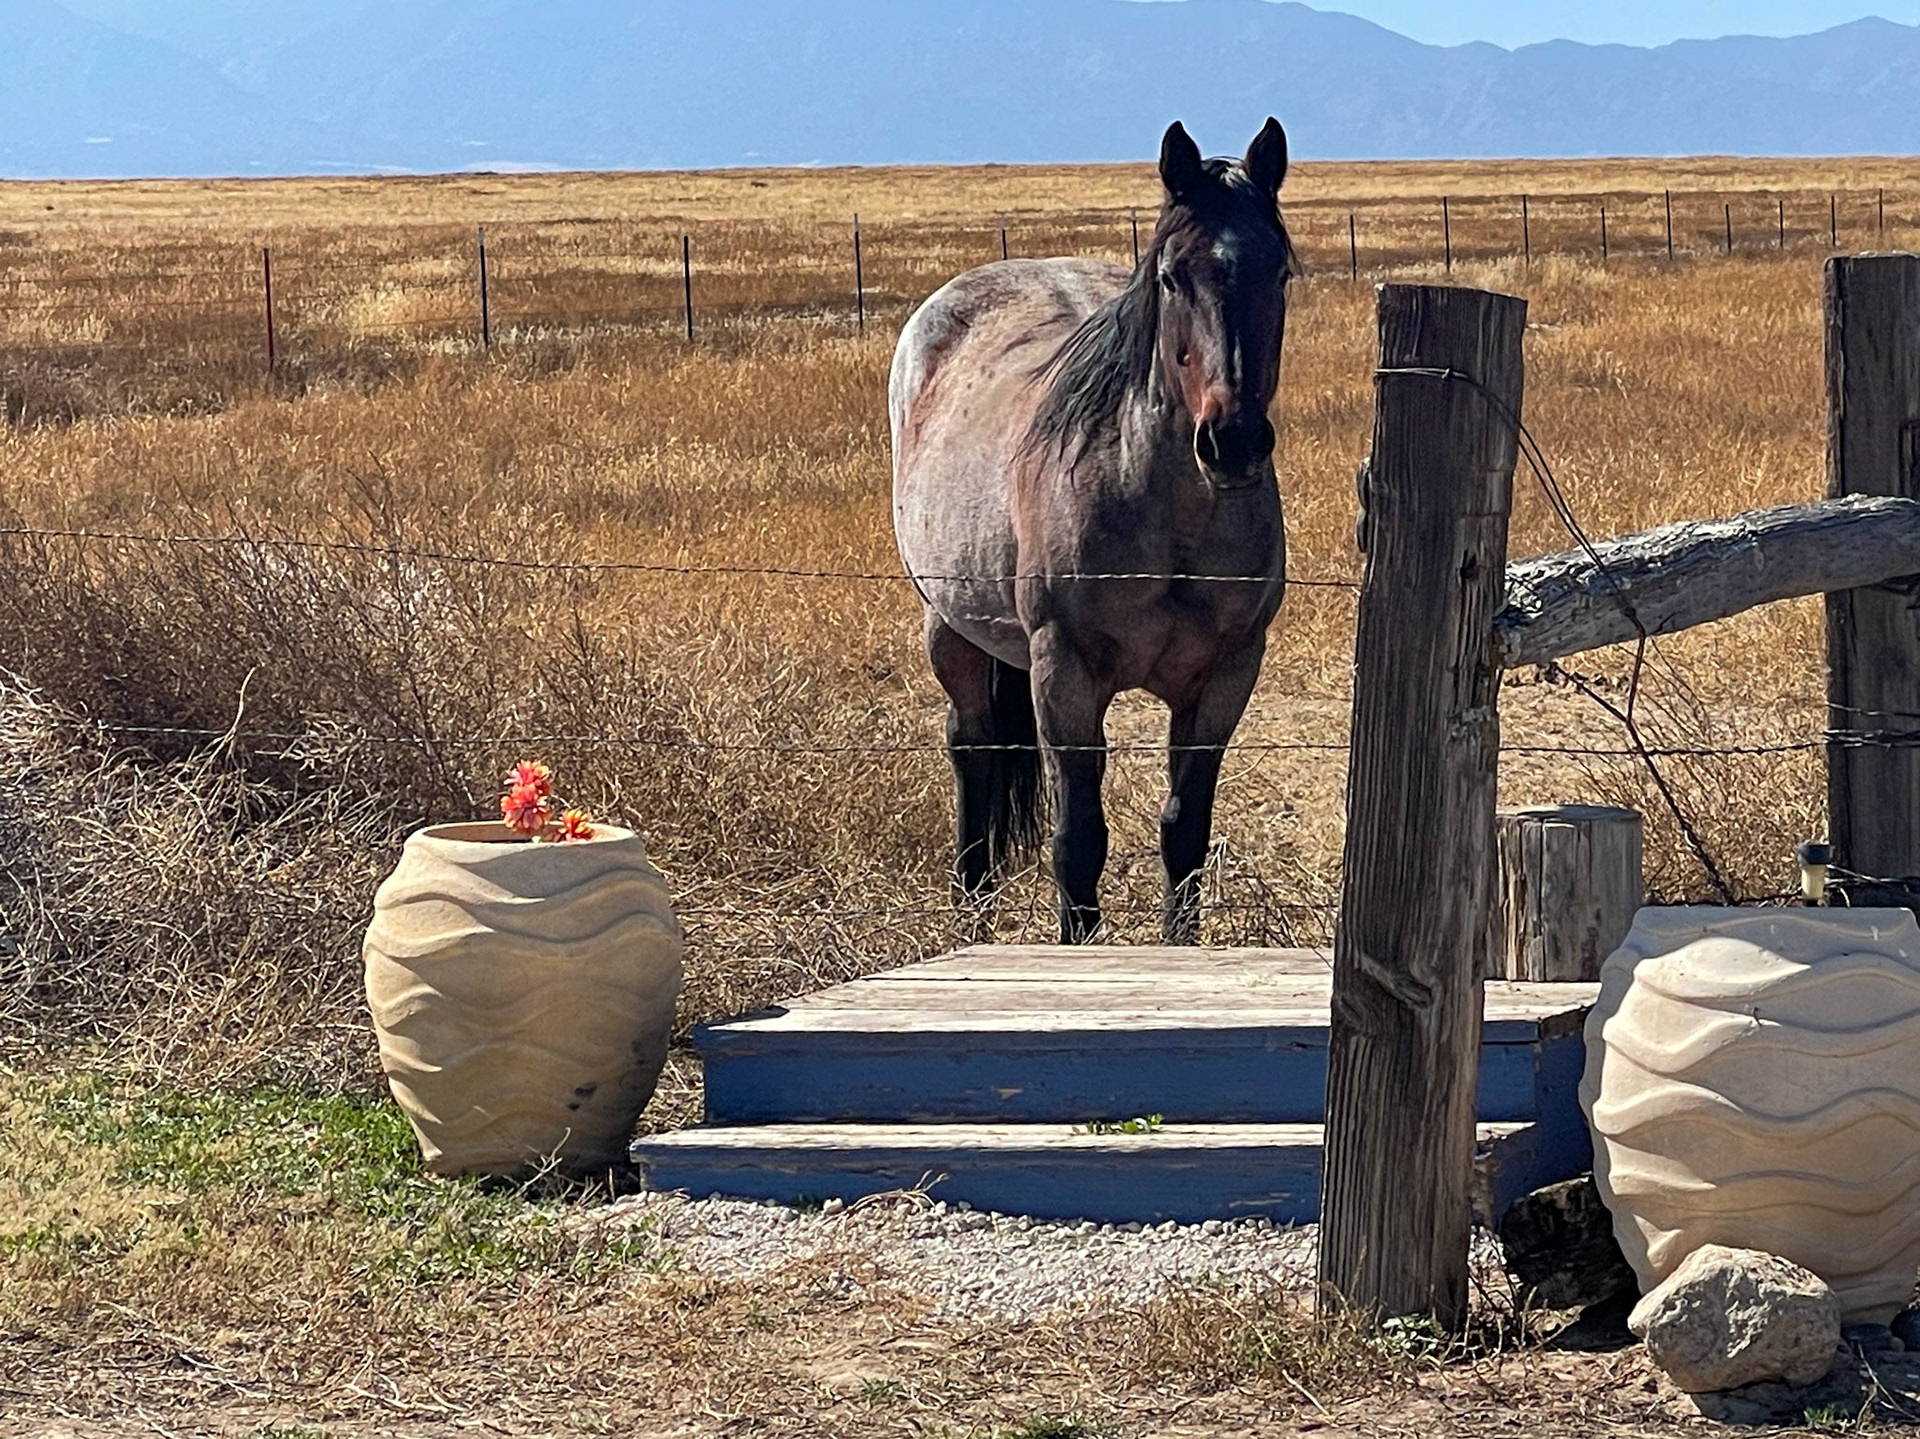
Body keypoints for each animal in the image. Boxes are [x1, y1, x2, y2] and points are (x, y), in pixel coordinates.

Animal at [889, 119, 1296, 945]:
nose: (1232, 441)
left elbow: (1185, 832)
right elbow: (1079, 843)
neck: (1170, 519)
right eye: (1172, 275)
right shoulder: (1065, 675)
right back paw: (971, 903)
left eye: (1279, 272)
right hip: (947, 621)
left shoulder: (1224, 681)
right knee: (970, 742)